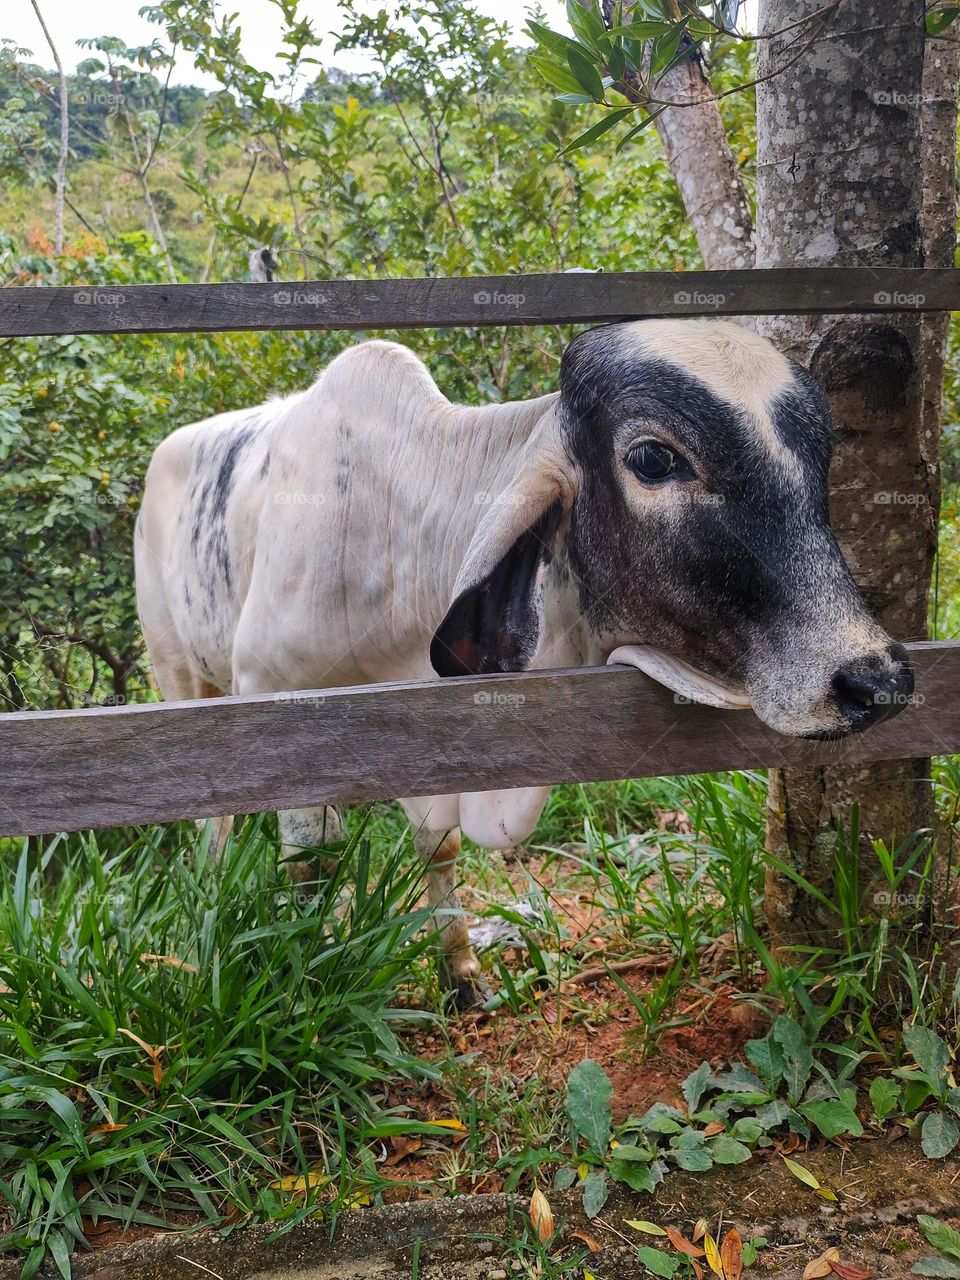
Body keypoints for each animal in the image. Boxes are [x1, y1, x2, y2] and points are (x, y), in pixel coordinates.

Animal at [135, 314, 916, 1003]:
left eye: (821, 460)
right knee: (211, 821)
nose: (875, 679)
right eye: (653, 459)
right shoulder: (278, 705)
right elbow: (309, 866)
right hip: (180, 680)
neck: (396, 540)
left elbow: (438, 847)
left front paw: (460, 975)